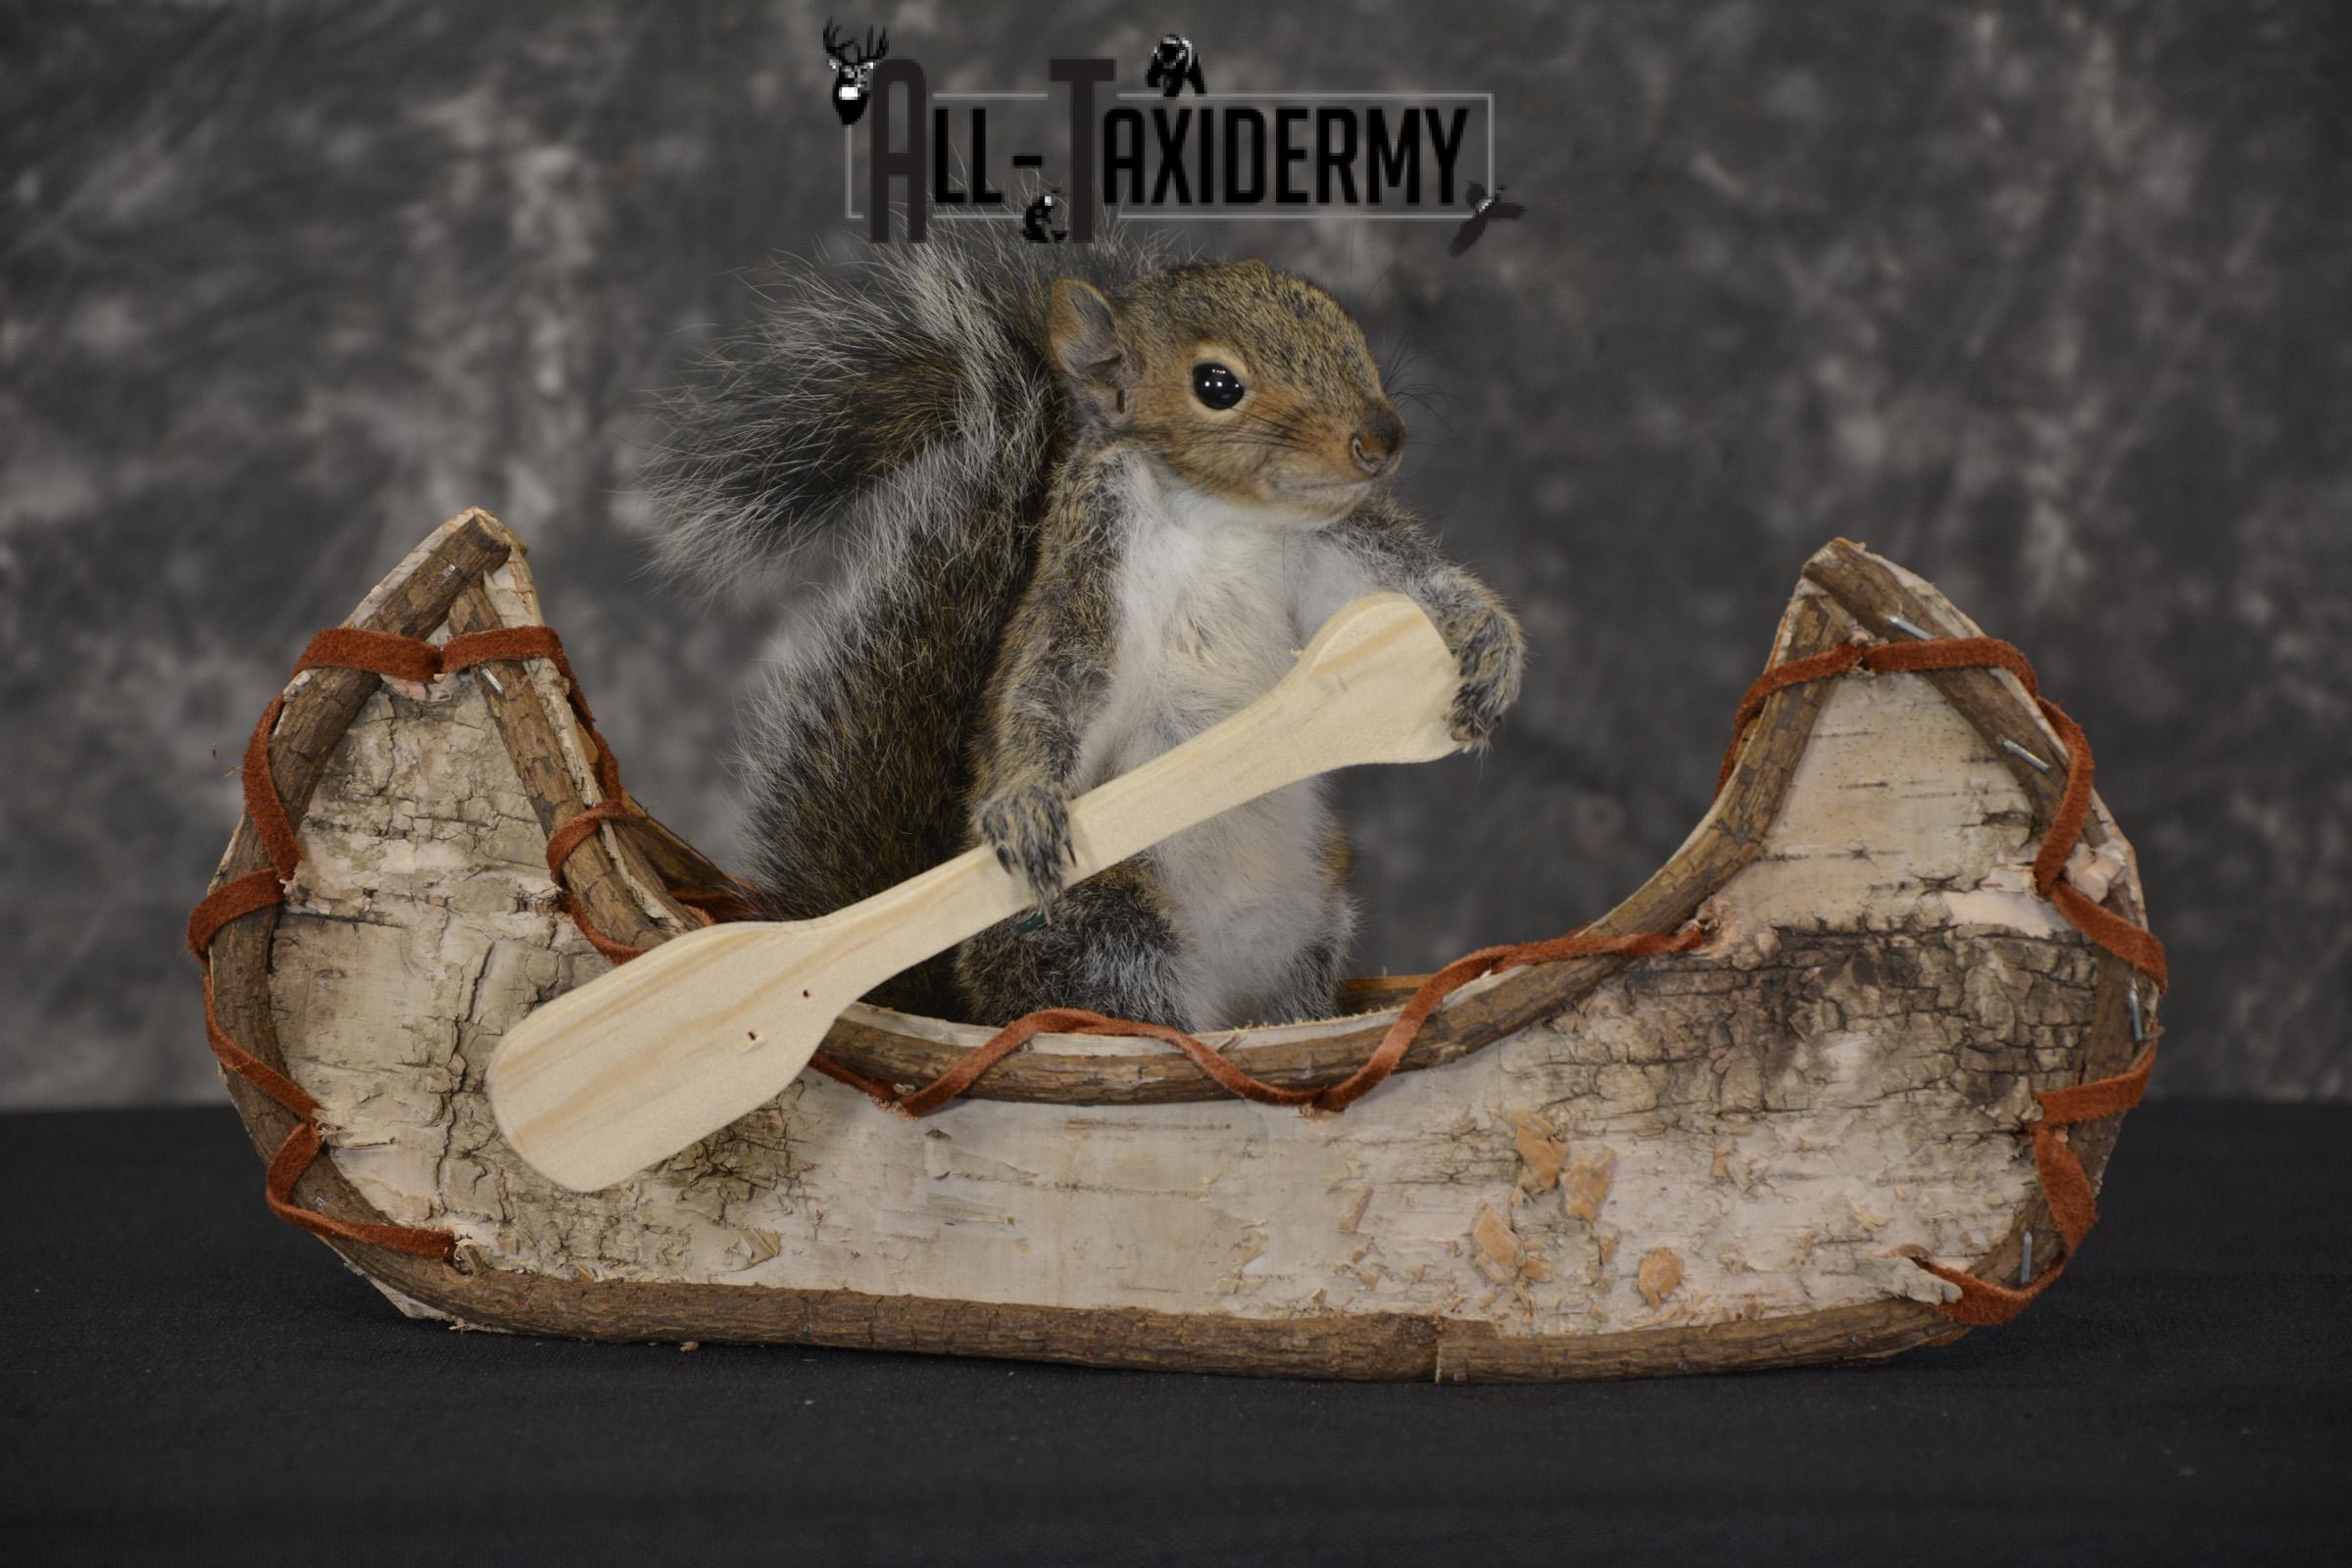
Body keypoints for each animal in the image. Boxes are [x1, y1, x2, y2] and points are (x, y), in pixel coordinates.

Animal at [647, 231, 1524, 1032]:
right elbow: (1055, 685)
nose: (1382, 439)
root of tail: (966, 1008)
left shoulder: (1326, 553)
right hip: (1105, 928)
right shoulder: (1092, 567)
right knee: (1132, 1008)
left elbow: (1398, 591)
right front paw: (1029, 801)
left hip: (1314, 925)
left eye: (1346, 328)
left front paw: (1490, 644)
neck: (1224, 521)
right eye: (1216, 384)